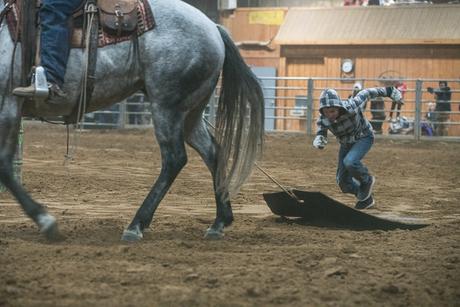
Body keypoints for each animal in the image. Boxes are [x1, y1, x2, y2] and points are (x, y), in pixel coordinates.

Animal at [0, 0, 264, 241]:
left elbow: (5, 167)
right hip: (191, 112)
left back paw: (136, 225)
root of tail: (213, 27)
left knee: (174, 159)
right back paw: (219, 222)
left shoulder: (8, 105)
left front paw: (46, 221)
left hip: (166, 106)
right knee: (212, 152)